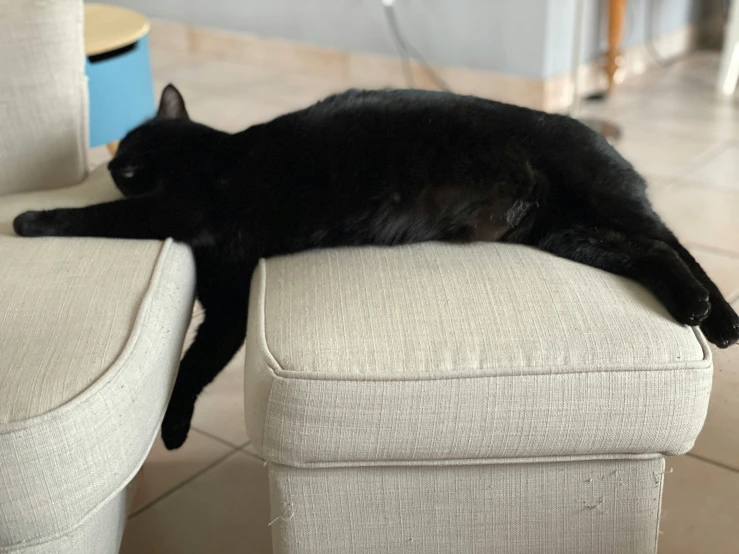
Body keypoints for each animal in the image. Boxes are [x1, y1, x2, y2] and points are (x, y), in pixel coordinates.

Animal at [13, 85, 739, 448]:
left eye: (124, 161)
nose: (109, 161)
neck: (204, 155)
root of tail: (597, 135)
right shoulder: (228, 307)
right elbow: (195, 363)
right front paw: (173, 429)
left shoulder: (182, 215)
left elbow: (103, 217)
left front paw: (31, 221)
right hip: (569, 233)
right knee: (651, 252)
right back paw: (704, 315)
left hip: (596, 203)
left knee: (669, 245)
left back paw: (716, 317)